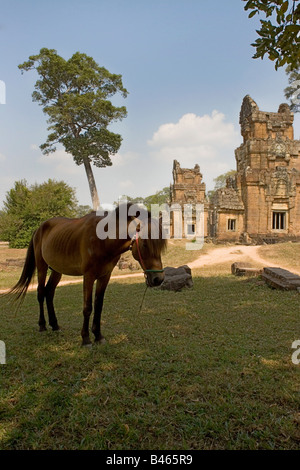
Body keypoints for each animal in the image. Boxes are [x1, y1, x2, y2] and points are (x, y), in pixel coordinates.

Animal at [7, 203, 166, 346]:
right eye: (144, 244)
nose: (158, 279)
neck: (103, 240)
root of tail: (39, 228)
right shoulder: (88, 276)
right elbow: (87, 307)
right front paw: (86, 339)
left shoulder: (105, 276)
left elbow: (99, 305)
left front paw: (98, 336)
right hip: (42, 266)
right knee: (41, 293)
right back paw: (42, 325)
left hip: (57, 271)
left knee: (49, 292)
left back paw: (55, 325)